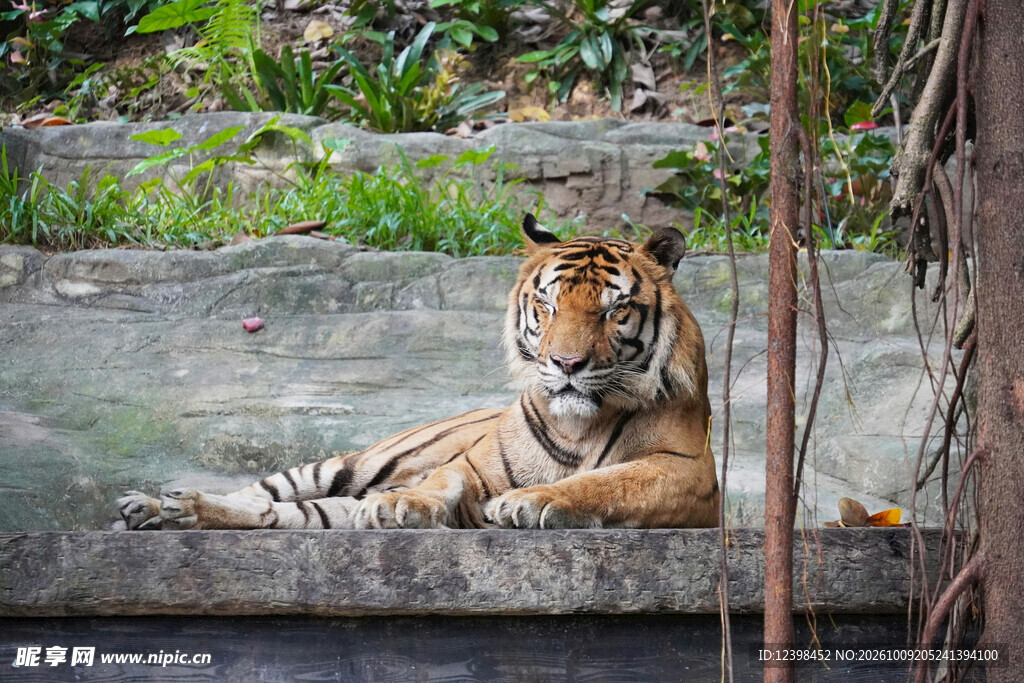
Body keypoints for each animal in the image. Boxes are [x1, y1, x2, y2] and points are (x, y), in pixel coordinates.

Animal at [117, 215, 720, 531]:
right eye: (547, 305)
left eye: (613, 311)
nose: (566, 364)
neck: (578, 422)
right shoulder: (471, 464)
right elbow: (441, 479)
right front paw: (401, 504)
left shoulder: (688, 471)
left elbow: (607, 480)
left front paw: (536, 500)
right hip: (345, 465)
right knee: (264, 495)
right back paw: (158, 505)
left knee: (282, 515)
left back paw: (175, 511)